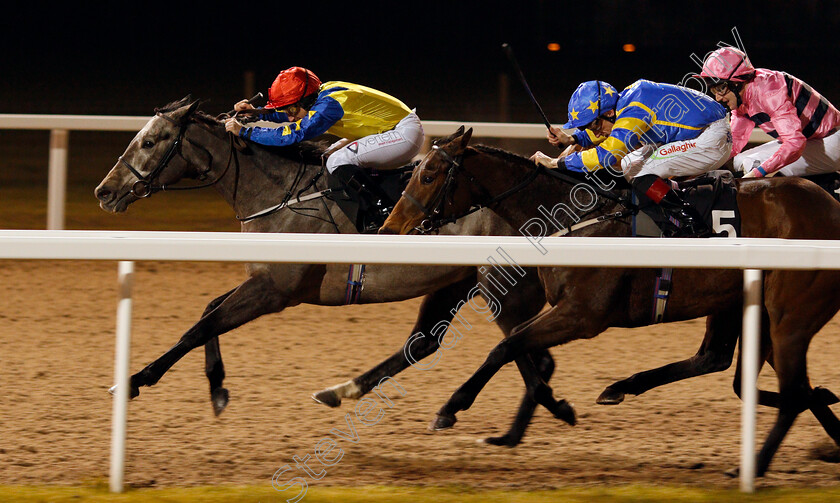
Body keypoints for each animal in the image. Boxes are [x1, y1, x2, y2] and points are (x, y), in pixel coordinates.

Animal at [93, 98, 572, 444]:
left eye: (151, 142)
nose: (104, 192)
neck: (278, 195)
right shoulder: (262, 278)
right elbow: (209, 311)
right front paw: (218, 389)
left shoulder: (275, 291)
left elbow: (199, 327)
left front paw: (132, 382)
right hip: (456, 282)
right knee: (427, 343)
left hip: (502, 287)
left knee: (527, 351)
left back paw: (533, 417)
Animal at [378, 126, 840, 476]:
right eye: (415, 170)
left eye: (430, 174)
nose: (388, 229)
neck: (577, 216)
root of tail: (830, 205)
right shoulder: (564, 311)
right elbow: (519, 346)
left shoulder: (583, 315)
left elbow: (505, 346)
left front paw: (452, 407)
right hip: (741, 303)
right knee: (732, 366)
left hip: (788, 313)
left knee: (787, 388)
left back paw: (756, 463)